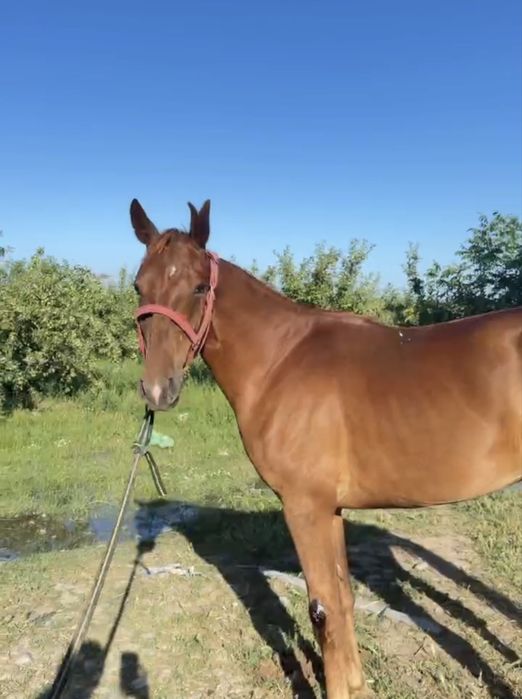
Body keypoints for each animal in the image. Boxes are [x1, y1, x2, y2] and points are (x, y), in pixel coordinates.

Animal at [130, 198, 522, 699]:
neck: (280, 359)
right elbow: (344, 599)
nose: (158, 390)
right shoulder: (330, 509)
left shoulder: (304, 506)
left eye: (199, 286)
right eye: (139, 285)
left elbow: (322, 611)